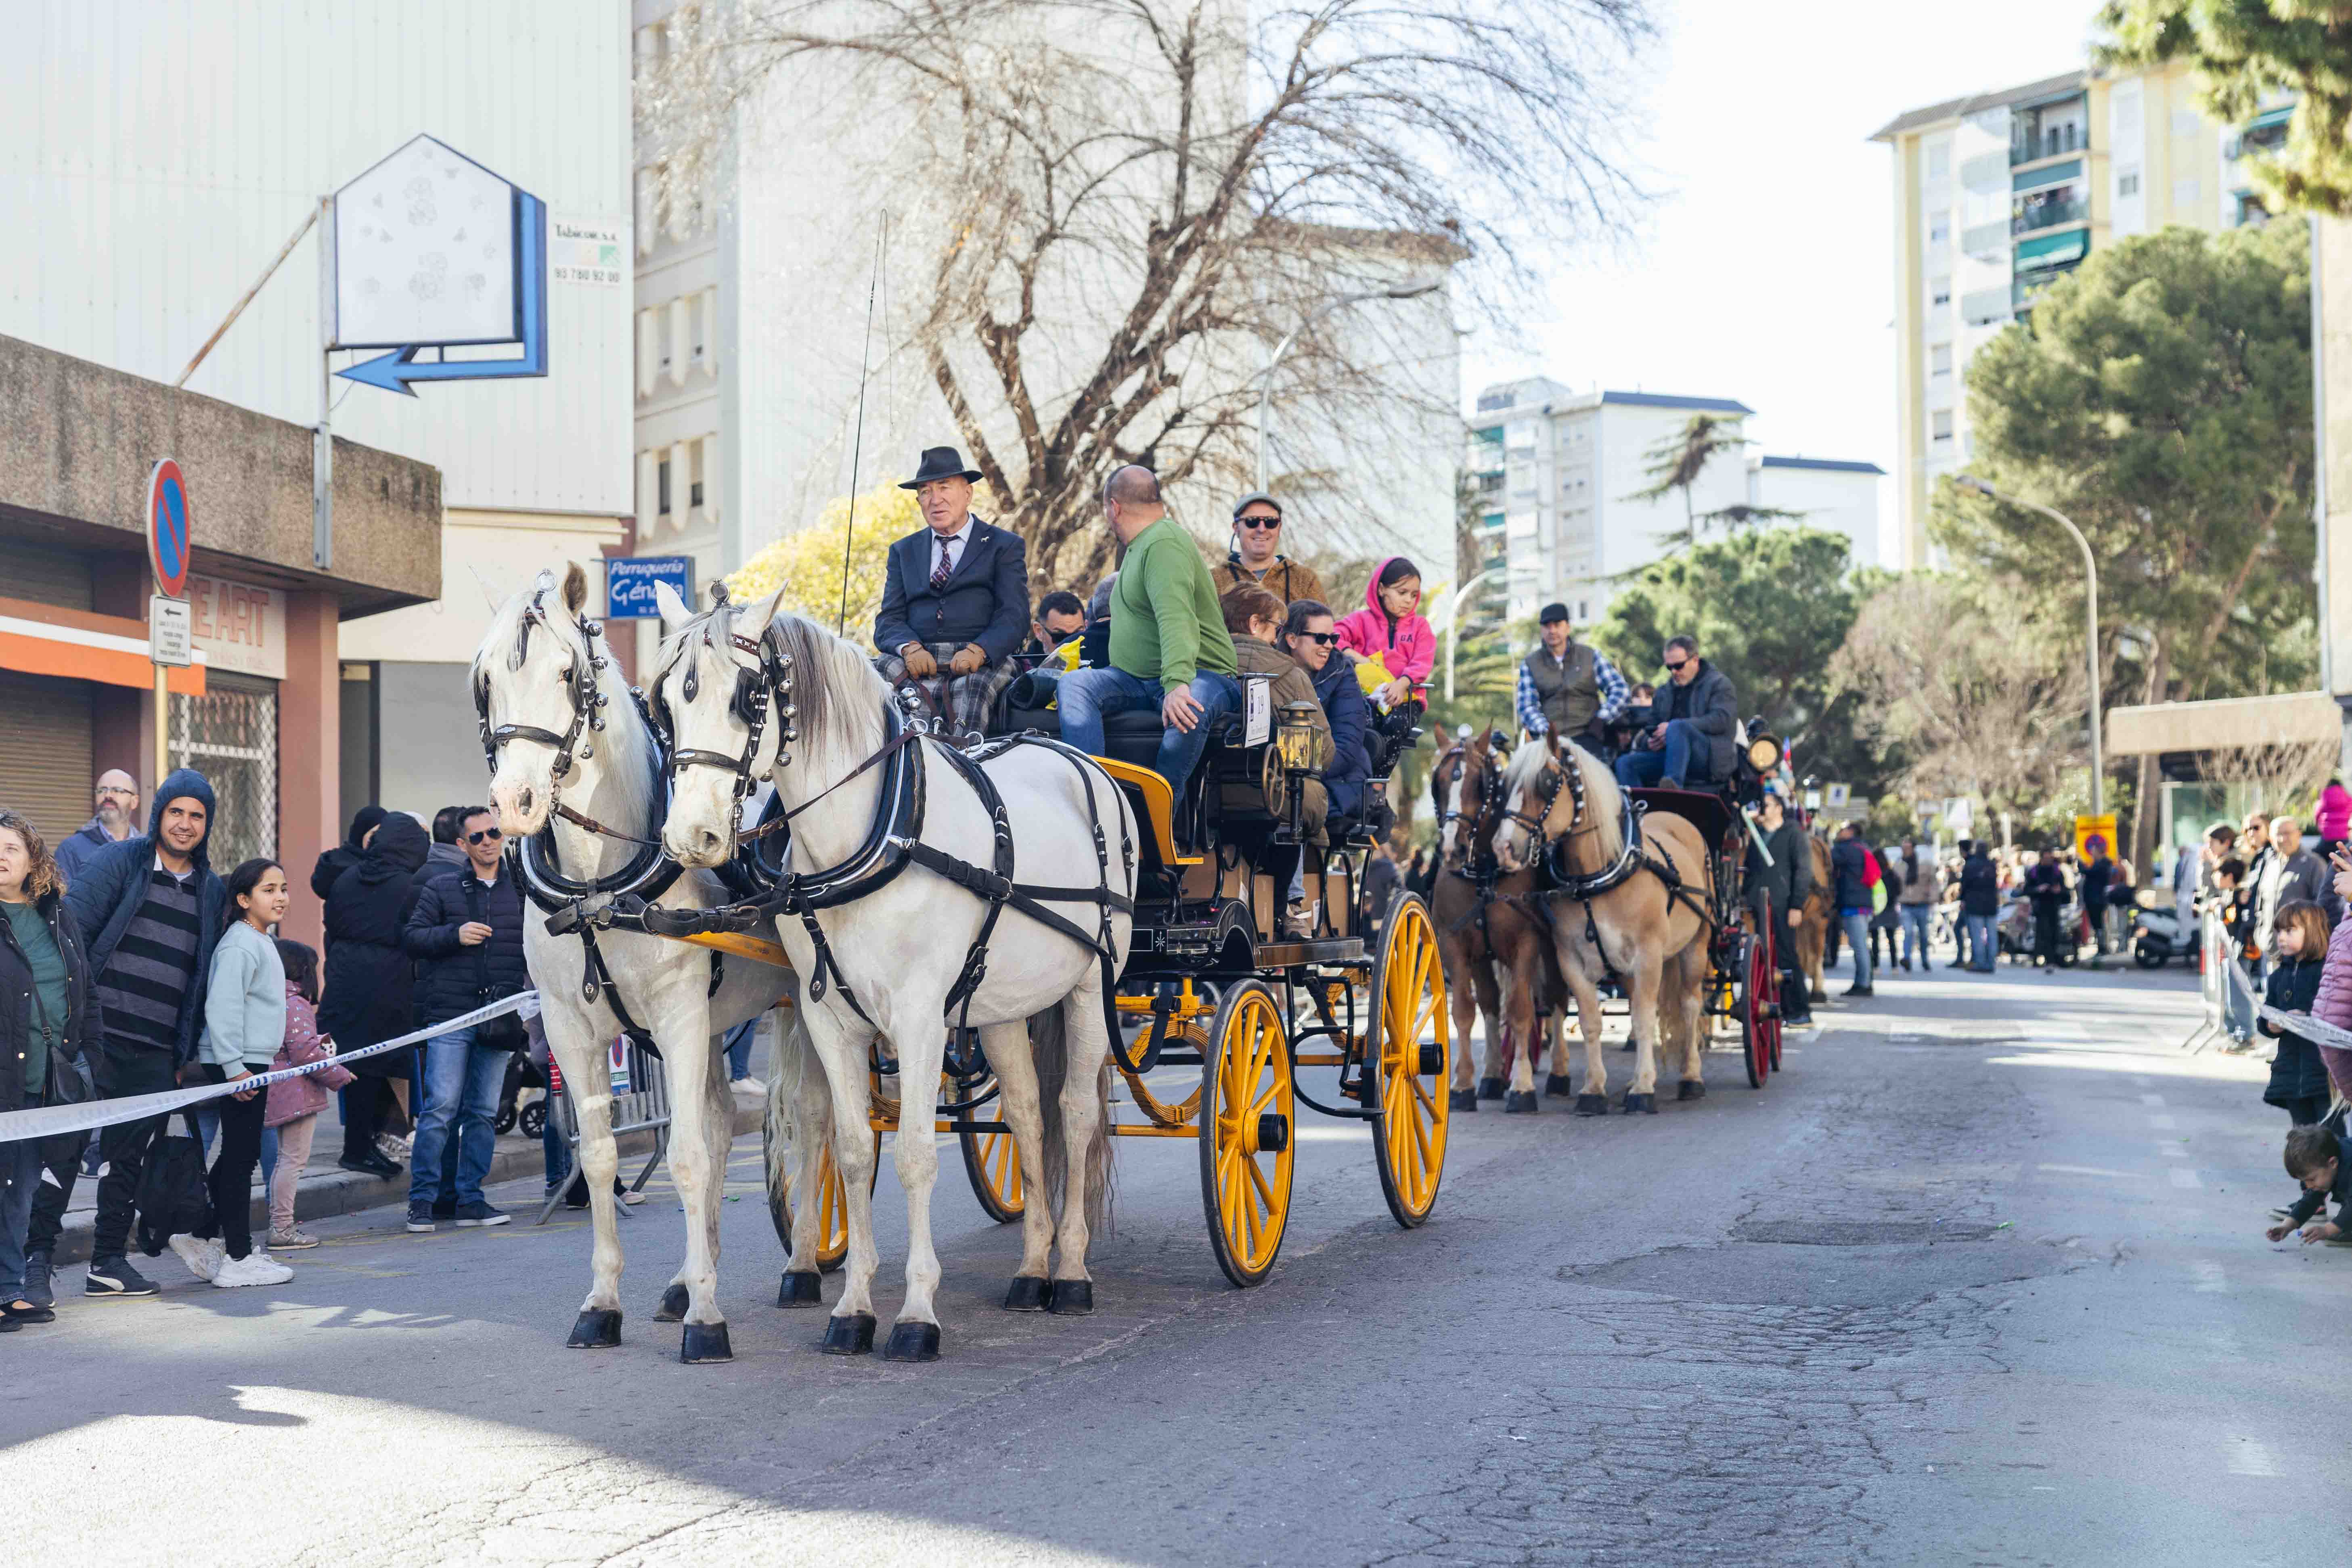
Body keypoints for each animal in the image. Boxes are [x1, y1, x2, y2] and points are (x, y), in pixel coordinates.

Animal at [477, 564, 800, 1363]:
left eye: (568, 673)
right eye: (489, 678)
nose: (514, 802)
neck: (599, 883)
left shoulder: (680, 1013)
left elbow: (683, 1155)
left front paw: (707, 1322)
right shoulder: (571, 1030)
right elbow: (598, 1158)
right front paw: (603, 1304)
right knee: (720, 1122)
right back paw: (689, 1279)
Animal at [653, 583, 1138, 1363]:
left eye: (747, 696)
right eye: (665, 702)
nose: (689, 838)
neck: (876, 836)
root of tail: (1081, 762)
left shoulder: (917, 1020)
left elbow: (914, 1154)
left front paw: (915, 1313)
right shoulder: (830, 1019)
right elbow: (851, 1153)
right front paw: (852, 1307)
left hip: (1091, 987)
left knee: (1075, 1113)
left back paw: (1068, 1270)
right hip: (1003, 1007)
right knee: (1028, 1116)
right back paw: (1032, 1268)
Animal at [1411, 743, 1562, 1110]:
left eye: (1480, 785)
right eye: (1437, 784)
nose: (1452, 848)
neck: (1483, 875)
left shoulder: (1526, 943)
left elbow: (1521, 1009)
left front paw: (1522, 1087)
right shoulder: (1456, 946)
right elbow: (1467, 1010)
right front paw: (1464, 1084)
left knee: (1557, 999)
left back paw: (1558, 1073)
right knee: (1492, 1002)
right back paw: (1493, 1075)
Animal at [1495, 738, 1722, 1114]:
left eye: (1546, 782)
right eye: (1505, 785)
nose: (1503, 847)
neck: (1597, 876)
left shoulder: (1648, 955)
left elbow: (1644, 1018)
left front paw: (1644, 1090)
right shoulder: (1571, 959)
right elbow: (1591, 1022)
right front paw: (1594, 1089)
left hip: (1696, 946)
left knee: (1690, 1005)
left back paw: (1691, 1078)